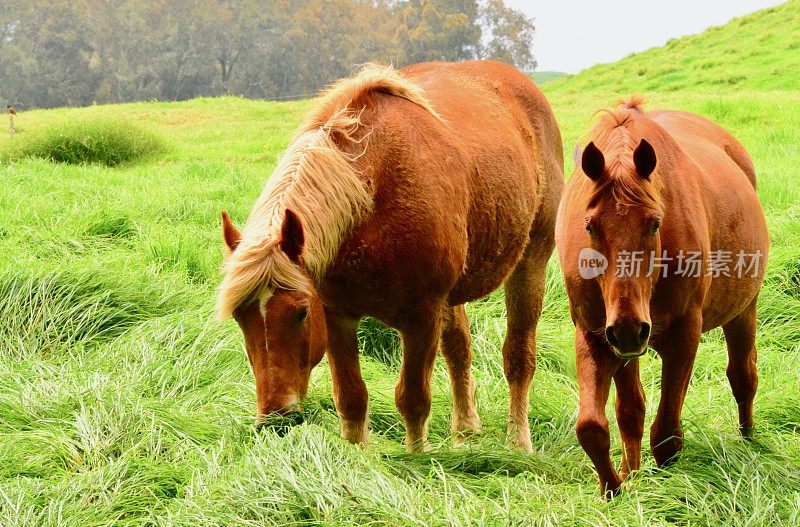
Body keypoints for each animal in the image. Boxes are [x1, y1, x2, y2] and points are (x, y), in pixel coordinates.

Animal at [212, 59, 564, 452]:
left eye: (301, 312)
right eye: (240, 317)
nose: (275, 419)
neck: (370, 201)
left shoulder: (422, 317)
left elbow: (413, 400)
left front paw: (416, 458)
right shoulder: (338, 315)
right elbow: (351, 398)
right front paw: (357, 457)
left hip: (530, 263)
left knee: (518, 355)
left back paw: (518, 443)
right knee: (459, 349)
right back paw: (464, 433)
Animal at [556, 97, 768, 498]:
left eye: (655, 223)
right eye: (589, 226)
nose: (629, 329)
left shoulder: (684, 333)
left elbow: (667, 434)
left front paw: (667, 493)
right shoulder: (594, 333)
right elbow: (596, 425)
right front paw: (617, 488)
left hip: (742, 312)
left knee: (743, 376)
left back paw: (749, 440)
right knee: (631, 410)